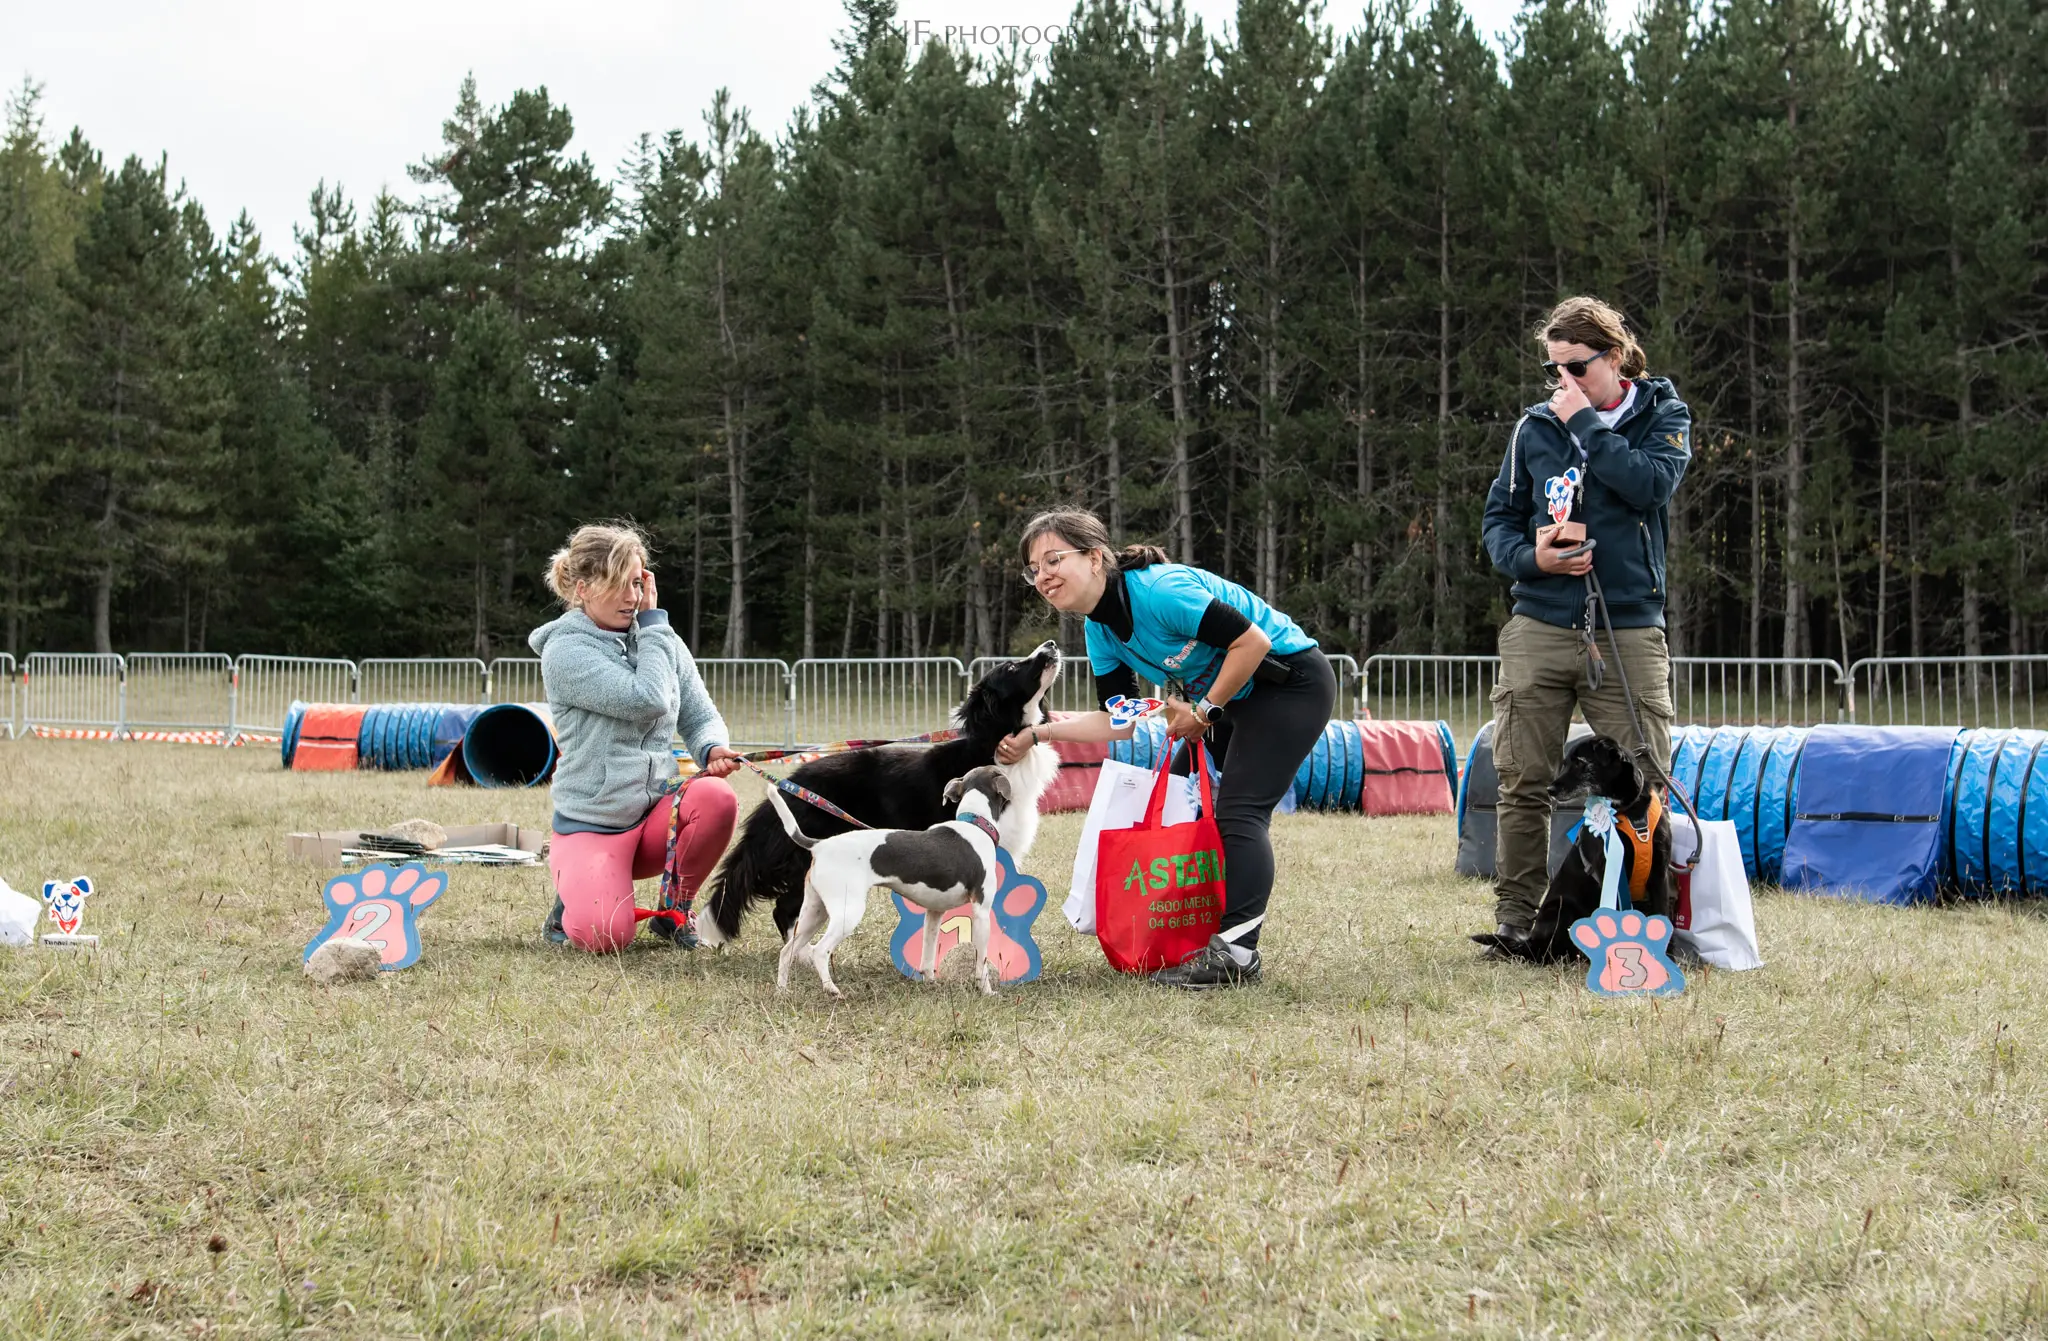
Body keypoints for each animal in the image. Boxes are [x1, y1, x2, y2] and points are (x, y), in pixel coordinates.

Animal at [770, 765, 1015, 995]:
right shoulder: (981, 911)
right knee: (819, 951)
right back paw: (832, 990)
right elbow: (982, 961)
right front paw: (987, 991)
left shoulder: (934, 912)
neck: (975, 824)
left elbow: (928, 953)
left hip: (814, 913)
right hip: (847, 913)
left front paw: (930, 982)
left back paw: (782, 991)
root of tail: (819, 845)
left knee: (787, 951)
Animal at [1474, 732, 1679, 966]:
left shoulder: (1659, 874)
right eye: (1565, 764)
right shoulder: (1609, 874)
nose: (1550, 790)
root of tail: (1531, 941)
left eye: (1580, 763)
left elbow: (1662, 916)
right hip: (1563, 910)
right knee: (1548, 952)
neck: (1628, 809)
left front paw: (1666, 960)